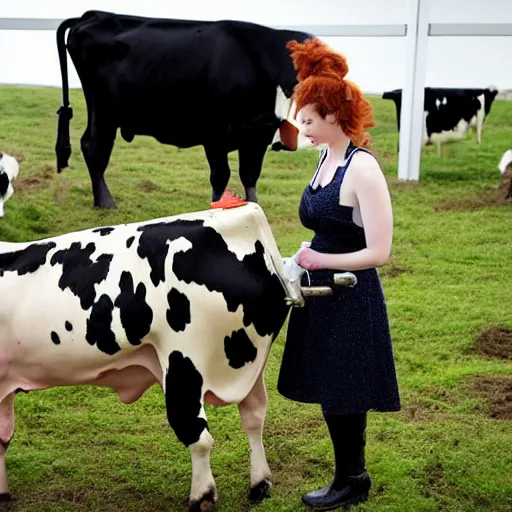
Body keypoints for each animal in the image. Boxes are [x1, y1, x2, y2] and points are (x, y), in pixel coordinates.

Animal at [0, 195, 312, 508]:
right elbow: (3, 437)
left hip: (183, 360)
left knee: (196, 432)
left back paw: (202, 496)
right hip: (247, 366)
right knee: (254, 415)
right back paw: (260, 484)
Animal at [57, 9, 312, 208]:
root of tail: (94, 15)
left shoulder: (258, 133)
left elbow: (250, 176)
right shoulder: (215, 132)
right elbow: (221, 176)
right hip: (103, 110)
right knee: (94, 147)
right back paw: (106, 202)